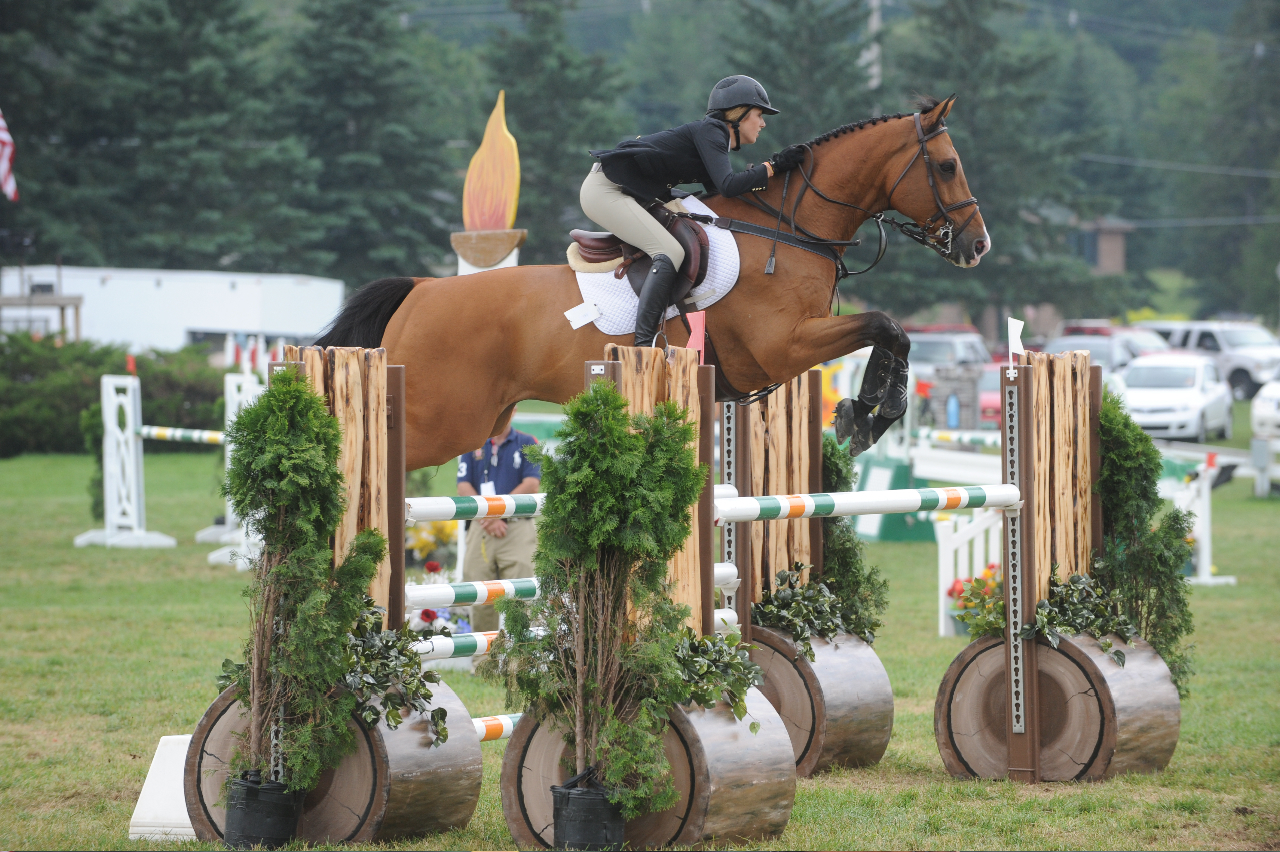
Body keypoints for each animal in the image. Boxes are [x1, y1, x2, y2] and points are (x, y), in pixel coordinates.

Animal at [316, 95, 989, 471]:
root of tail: (419, 290)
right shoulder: (781, 347)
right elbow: (885, 325)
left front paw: (866, 413)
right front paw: (868, 412)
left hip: (482, 418)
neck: (789, 228)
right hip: (441, 421)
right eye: (948, 166)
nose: (977, 246)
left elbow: (892, 333)